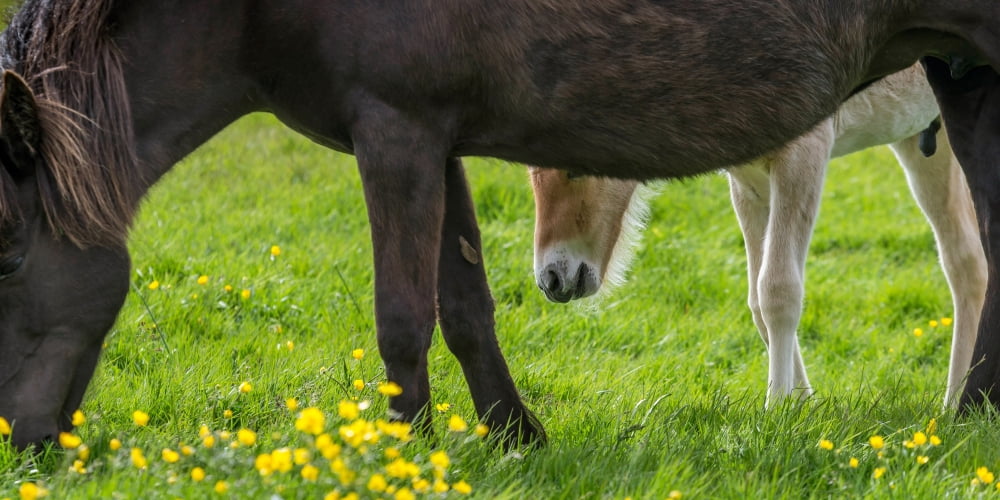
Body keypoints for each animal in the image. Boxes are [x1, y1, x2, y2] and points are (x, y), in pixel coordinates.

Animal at [531, 64, 987, 408]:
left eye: (575, 165)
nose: (552, 278)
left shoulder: (803, 156)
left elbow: (779, 290)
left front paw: (776, 411)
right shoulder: (748, 181)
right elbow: (756, 299)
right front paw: (801, 407)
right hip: (925, 141)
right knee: (967, 265)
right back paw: (955, 406)